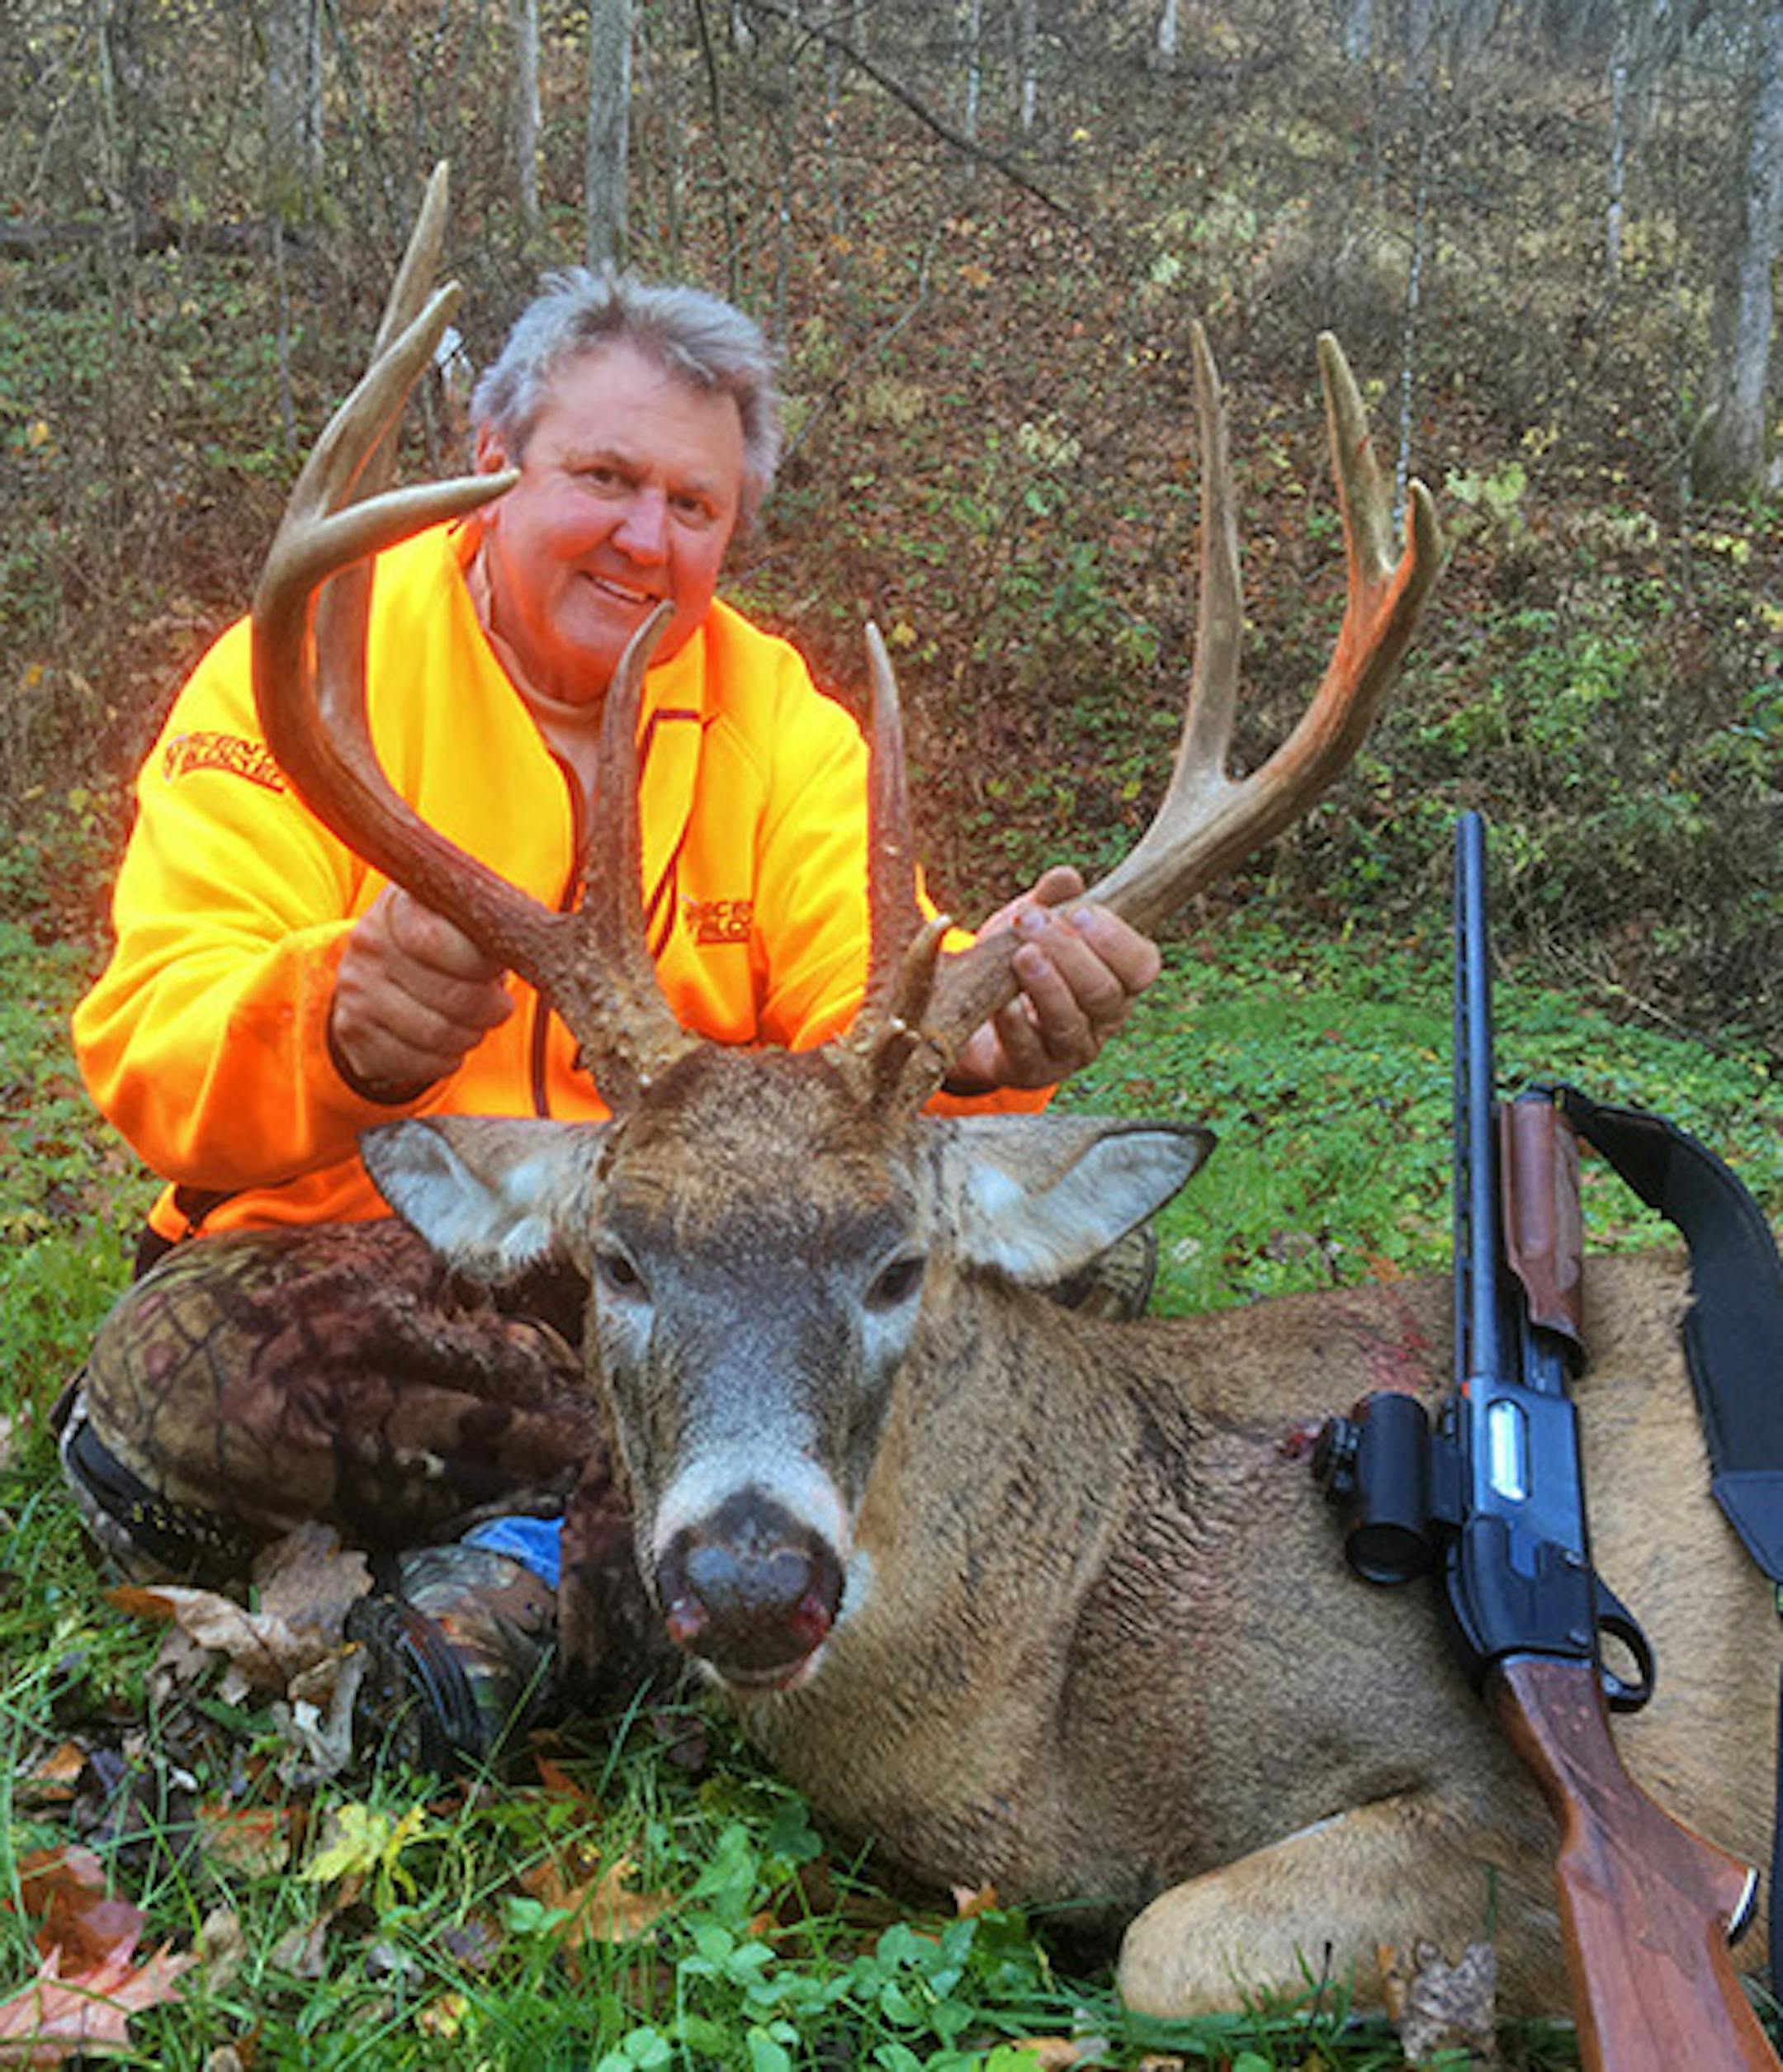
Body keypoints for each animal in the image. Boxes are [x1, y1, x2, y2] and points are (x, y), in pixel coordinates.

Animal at [247, 173, 1778, 2024]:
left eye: (899, 1261)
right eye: (618, 1257)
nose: (750, 1577)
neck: (1052, 1729)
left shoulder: (1539, 1794)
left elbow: (1171, 1945)